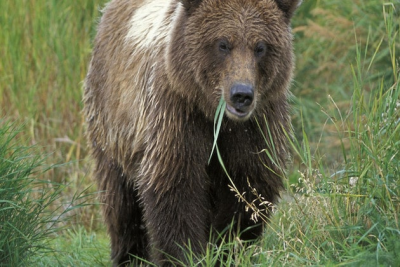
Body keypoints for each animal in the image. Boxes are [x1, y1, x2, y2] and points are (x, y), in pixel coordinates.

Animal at [83, 0, 300, 266]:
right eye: (222, 44)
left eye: (260, 47)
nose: (242, 94)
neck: (217, 117)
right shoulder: (177, 115)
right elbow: (176, 188)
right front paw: (183, 254)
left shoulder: (256, 128)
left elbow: (247, 190)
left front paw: (228, 250)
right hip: (111, 122)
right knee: (121, 204)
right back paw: (130, 256)